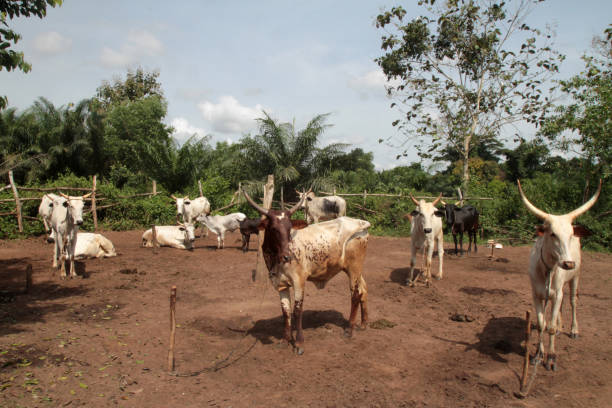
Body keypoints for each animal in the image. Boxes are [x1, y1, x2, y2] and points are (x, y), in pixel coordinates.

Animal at [243, 191, 368, 354]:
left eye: (289, 228)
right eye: (273, 228)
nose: (288, 256)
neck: (276, 259)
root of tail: (360, 223)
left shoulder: (299, 281)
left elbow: (297, 311)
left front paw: (299, 343)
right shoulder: (280, 284)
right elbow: (285, 312)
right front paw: (285, 340)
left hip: (354, 268)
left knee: (355, 295)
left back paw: (349, 330)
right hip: (356, 269)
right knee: (363, 290)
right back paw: (364, 324)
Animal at [516, 180, 604, 372]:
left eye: (570, 235)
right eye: (553, 234)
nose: (568, 264)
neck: (547, 269)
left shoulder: (557, 293)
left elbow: (549, 327)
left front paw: (551, 358)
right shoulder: (537, 295)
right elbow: (542, 324)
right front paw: (538, 355)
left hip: (575, 278)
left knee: (572, 301)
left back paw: (573, 329)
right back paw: (560, 324)